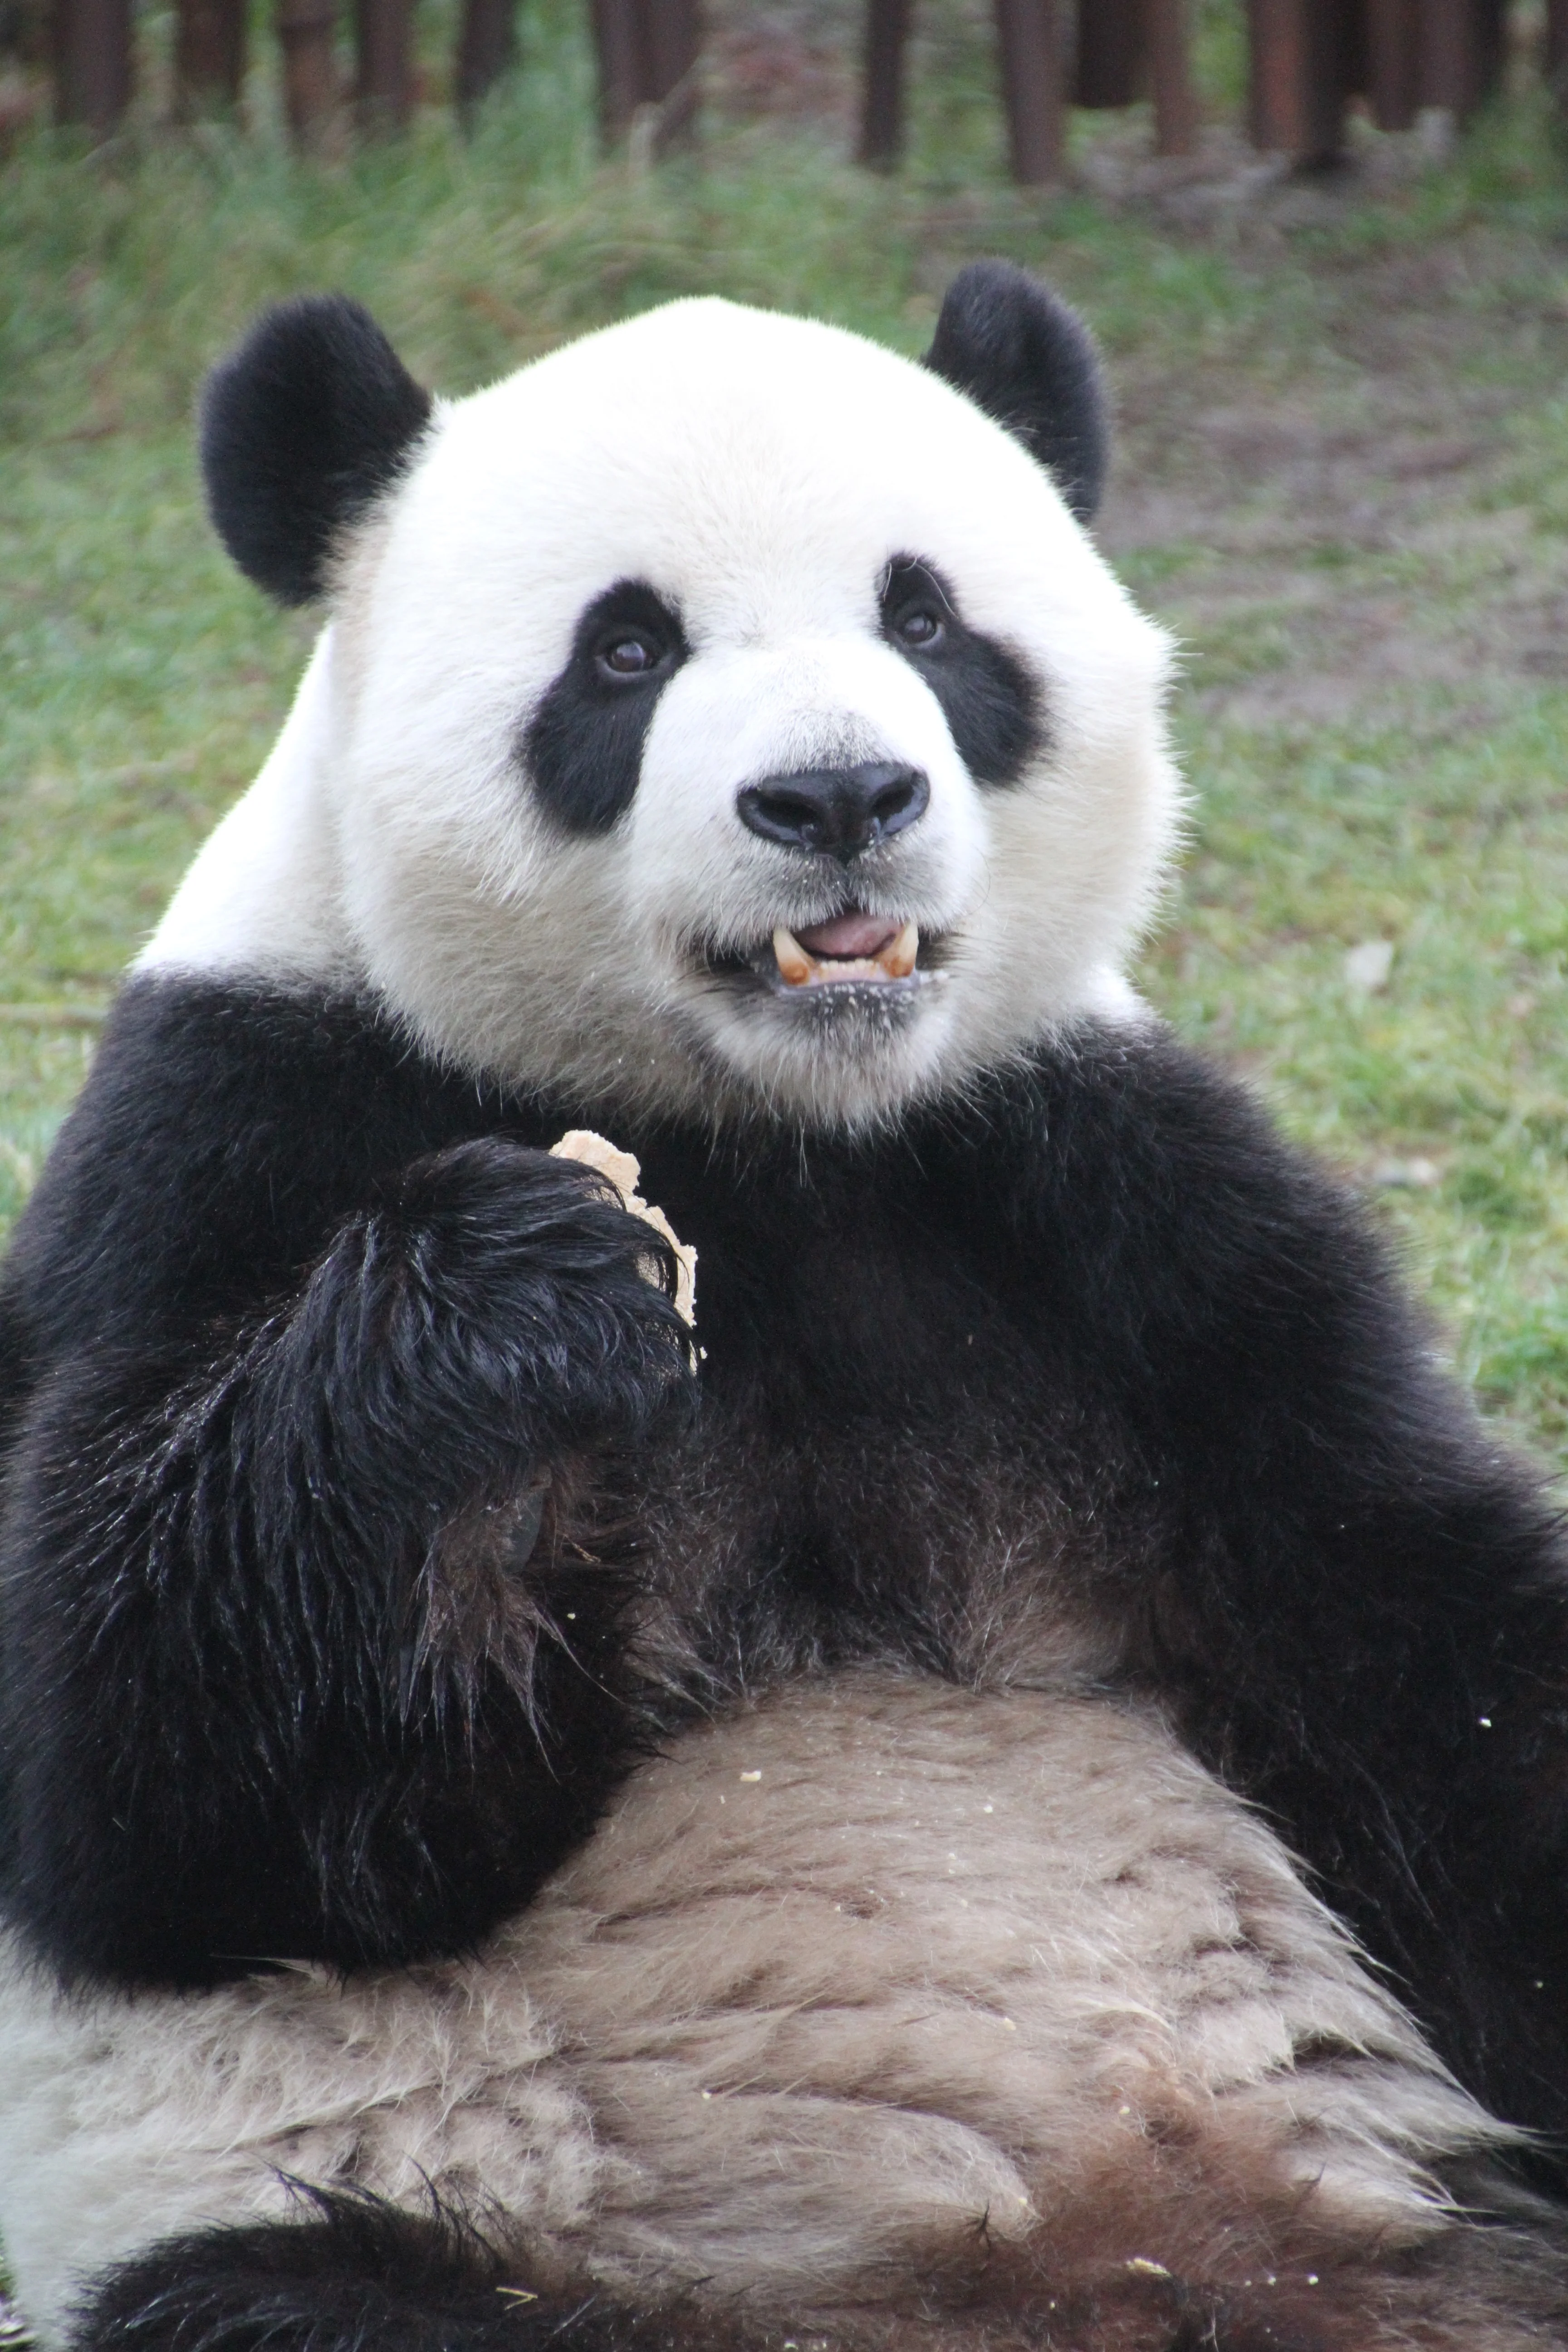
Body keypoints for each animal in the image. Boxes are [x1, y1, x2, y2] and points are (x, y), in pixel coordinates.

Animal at [2, 261, 1568, 2352]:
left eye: (927, 619)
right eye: (625, 651)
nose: (838, 795)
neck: (773, 1129)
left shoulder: (1107, 1200)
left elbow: (1427, 1647)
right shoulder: (222, 1134)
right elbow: (149, 1786)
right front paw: (514, 1322)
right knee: (286, 2296)